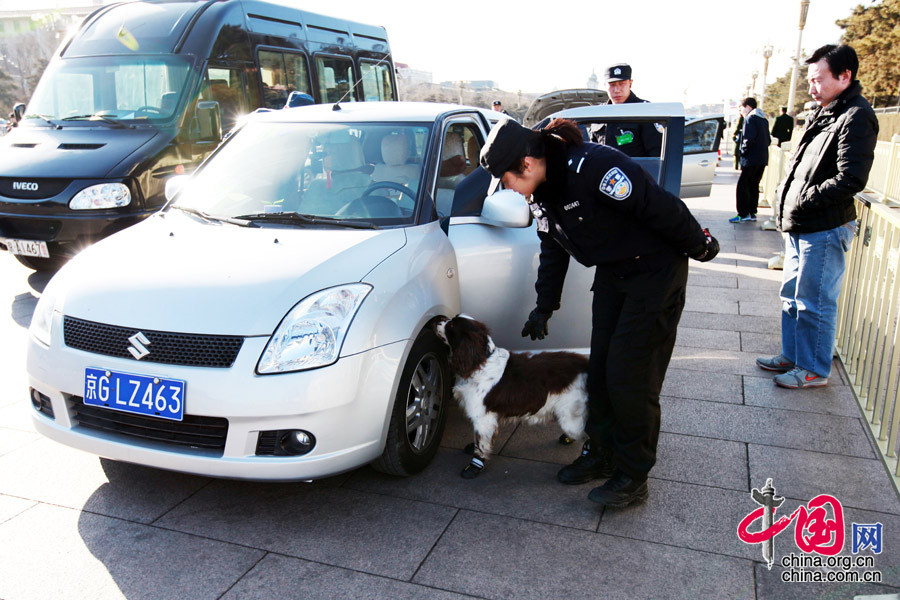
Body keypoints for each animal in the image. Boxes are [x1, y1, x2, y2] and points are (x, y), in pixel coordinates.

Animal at [432, 314, 588, 478]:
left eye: (451, 325)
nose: (436, 319)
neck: (480, 361)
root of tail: (586, 364)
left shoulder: (482, 417)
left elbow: (481, 444)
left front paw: (474, 466)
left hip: (571, 417)